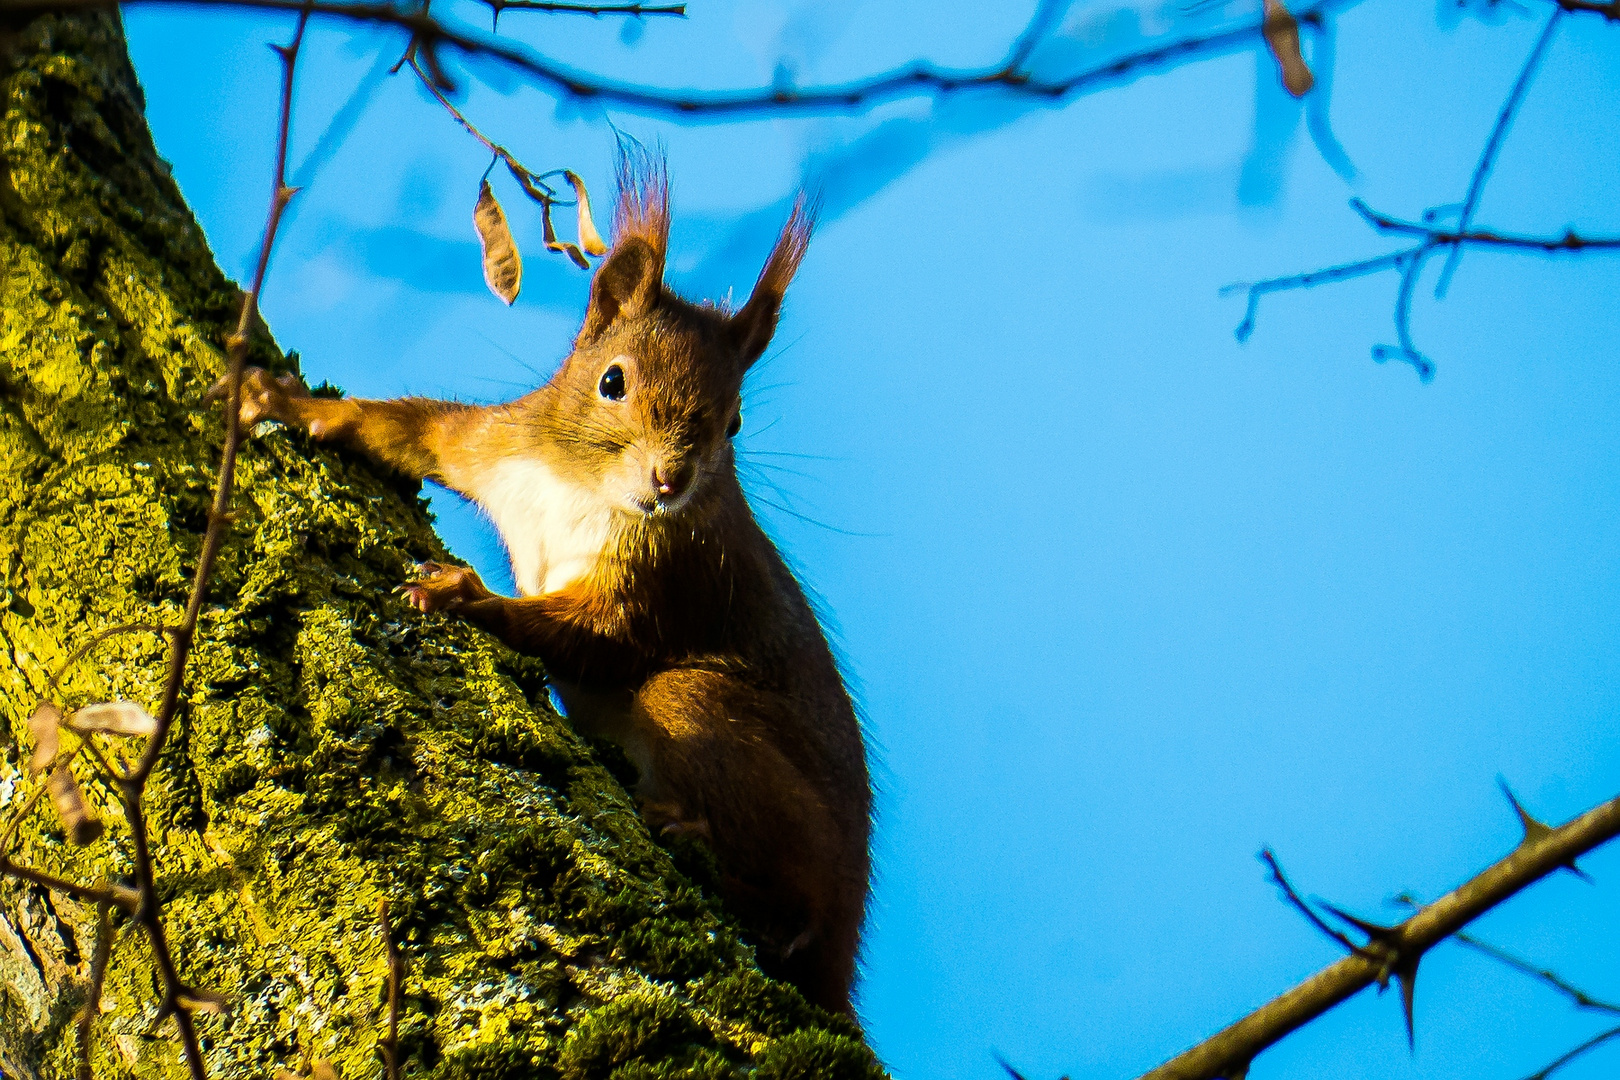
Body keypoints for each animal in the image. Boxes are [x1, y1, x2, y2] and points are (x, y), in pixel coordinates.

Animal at [225, 156, 874, 1016]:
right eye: (612, 382)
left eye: (734, 422)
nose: (671, 480)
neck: (583, 486)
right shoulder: (497, 442)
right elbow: (414, 429)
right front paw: (291, 404)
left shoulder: (667, 577)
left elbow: (593, 637)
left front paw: (463, 596)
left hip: (716, 729)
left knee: (794, 905)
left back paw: (700, 844)